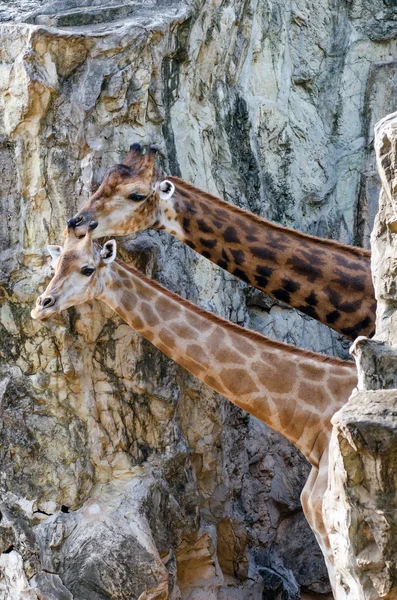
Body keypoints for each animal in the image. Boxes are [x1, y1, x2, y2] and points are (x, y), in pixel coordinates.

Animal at [31, 225, 356, 596]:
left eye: (87, 269)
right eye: (56, 266)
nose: (41, 306)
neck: (314, 421)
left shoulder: (338, 525)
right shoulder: (322, 522)